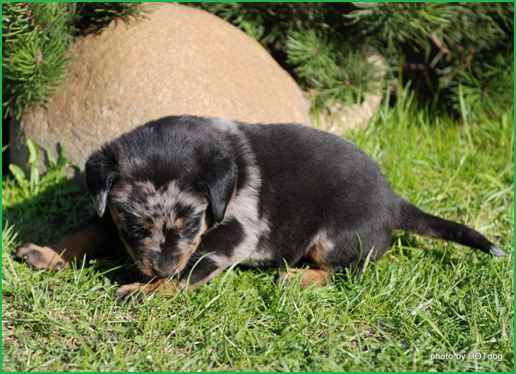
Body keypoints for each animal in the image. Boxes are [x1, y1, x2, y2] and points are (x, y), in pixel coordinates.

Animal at [14, 115, 506, 300]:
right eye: (136, 226)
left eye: (189, 222)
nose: (161, 268)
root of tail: (396, 201)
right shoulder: (109, 213)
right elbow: (85, 230)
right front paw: (47, 253)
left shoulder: (232, 234)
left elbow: (194, 268)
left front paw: (145, 289)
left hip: (333, 237)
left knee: (353, 268)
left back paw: (301, 277)